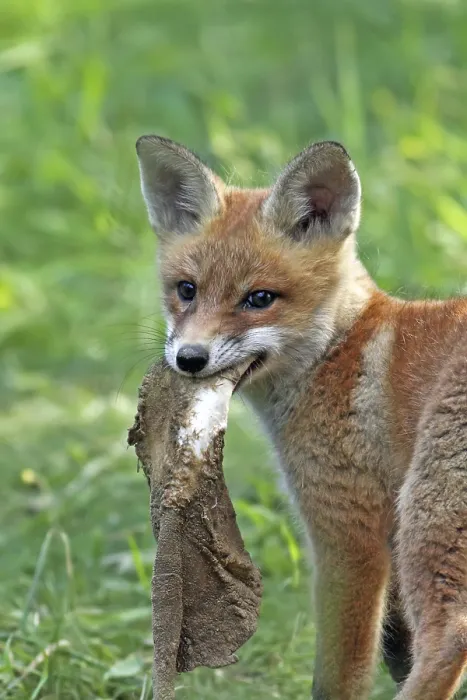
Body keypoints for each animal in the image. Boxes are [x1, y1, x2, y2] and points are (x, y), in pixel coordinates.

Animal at [135, 135, 467, 700]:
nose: (189, 358)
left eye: (259, 298)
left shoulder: (347, 534)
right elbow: (395, 649)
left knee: (447, 642)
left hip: (431, 528)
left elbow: (338, 677)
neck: (337, 351)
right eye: (186, 290)